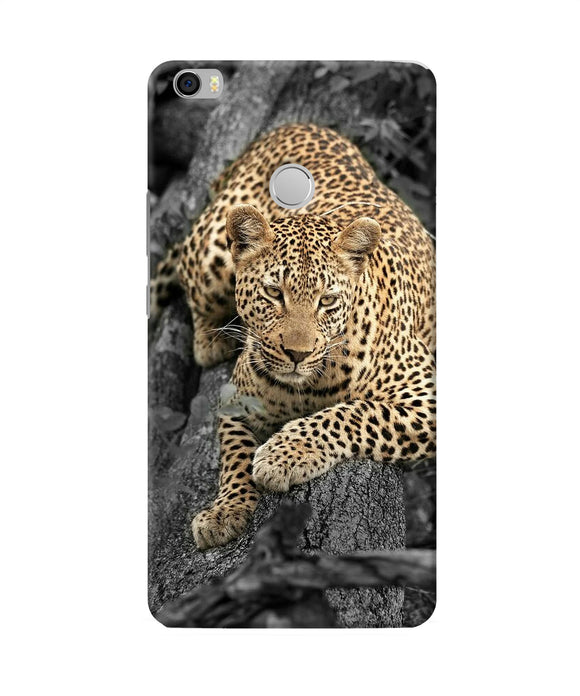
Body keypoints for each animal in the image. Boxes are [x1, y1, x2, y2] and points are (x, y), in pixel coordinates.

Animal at [152, 123, 436, 550]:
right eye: (273, 293)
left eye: (327, 300)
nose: (297, 354)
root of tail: (295, 125)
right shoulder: (235, 400)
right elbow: (234, 455)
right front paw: (225, 511)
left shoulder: (426, 398)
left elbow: (354, 413)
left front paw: (283, 455)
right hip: (211, 252)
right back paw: (211, 340)